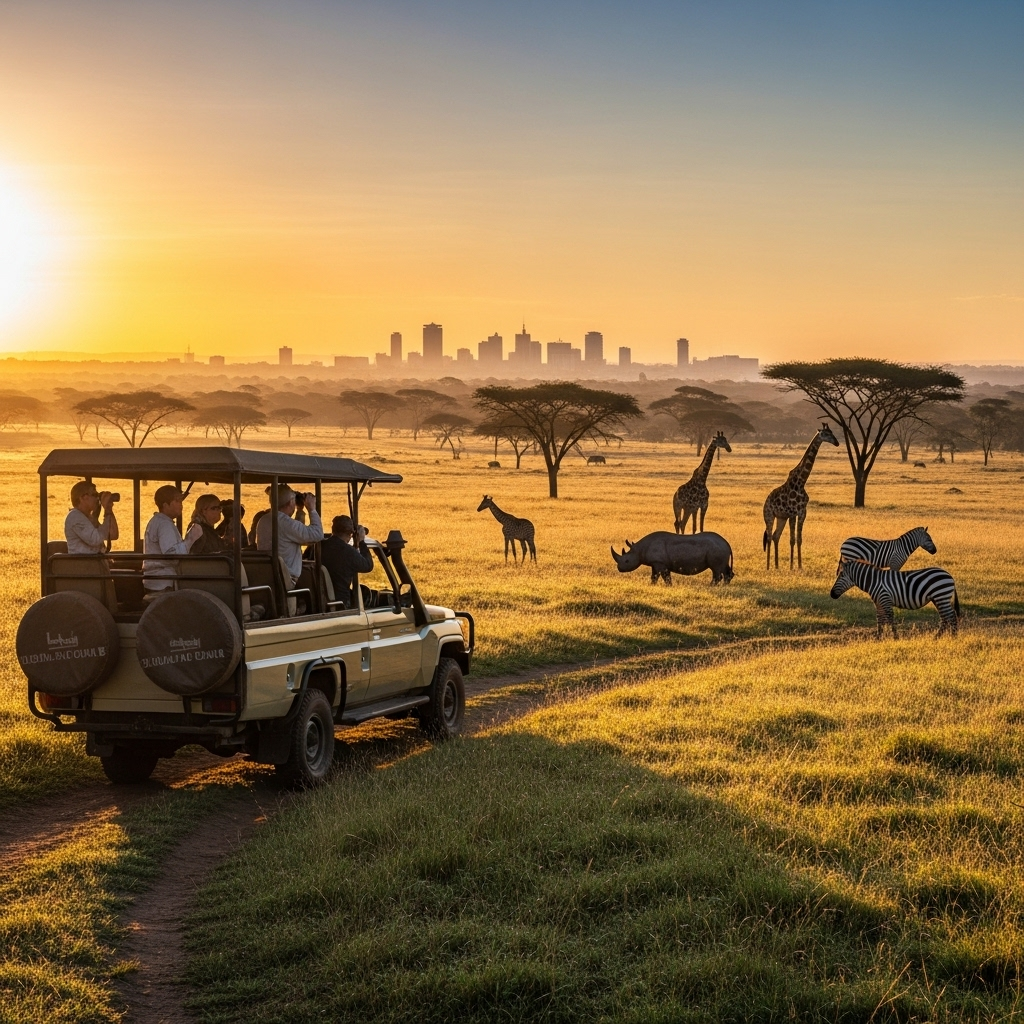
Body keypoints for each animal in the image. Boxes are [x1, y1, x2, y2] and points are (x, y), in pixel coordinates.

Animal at [762, 423, 840, 570]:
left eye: (832, 432)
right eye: (825, 434)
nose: (837, 442)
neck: (801, 481)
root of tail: (766, 501)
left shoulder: (802, 512)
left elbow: (799, 539)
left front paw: (799, 566)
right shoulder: (793, 513)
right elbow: (792, 540)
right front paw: (792, 566)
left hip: (781, 517)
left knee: (775, 536)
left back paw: (777, 566)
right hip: (769, 515)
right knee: (769, 537)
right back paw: (768, 566)